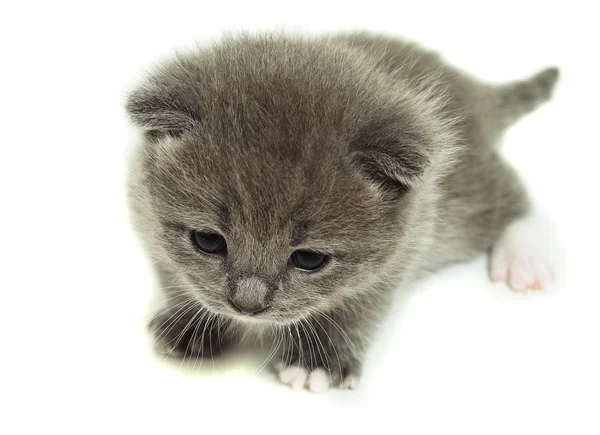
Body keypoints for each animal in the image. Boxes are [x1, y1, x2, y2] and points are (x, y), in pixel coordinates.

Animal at [124, 30, 560, 392]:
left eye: (309, 259)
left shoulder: (408, 241)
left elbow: (357, 308)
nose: (247, 306)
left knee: (513, 195)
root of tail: (473, 91)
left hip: (469, 200)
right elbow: (174, 275)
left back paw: (524, 258)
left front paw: (318, 360)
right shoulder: (143, 212)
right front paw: (187, 324)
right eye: (207, 241)